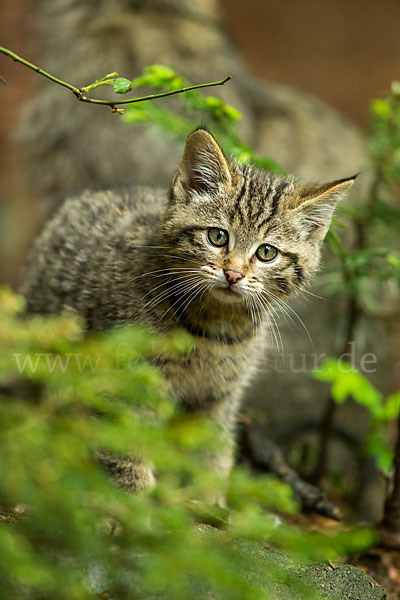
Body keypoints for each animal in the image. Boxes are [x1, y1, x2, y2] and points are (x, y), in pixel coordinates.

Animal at [20, 129, 354, 494]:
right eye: (217, 236)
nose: (233, 274)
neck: (216, 328)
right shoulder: (128, 379)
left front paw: (206, 498)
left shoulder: (220, 394)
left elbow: (211, 448)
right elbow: (126, 445)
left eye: (267, 252)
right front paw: (135, 500)